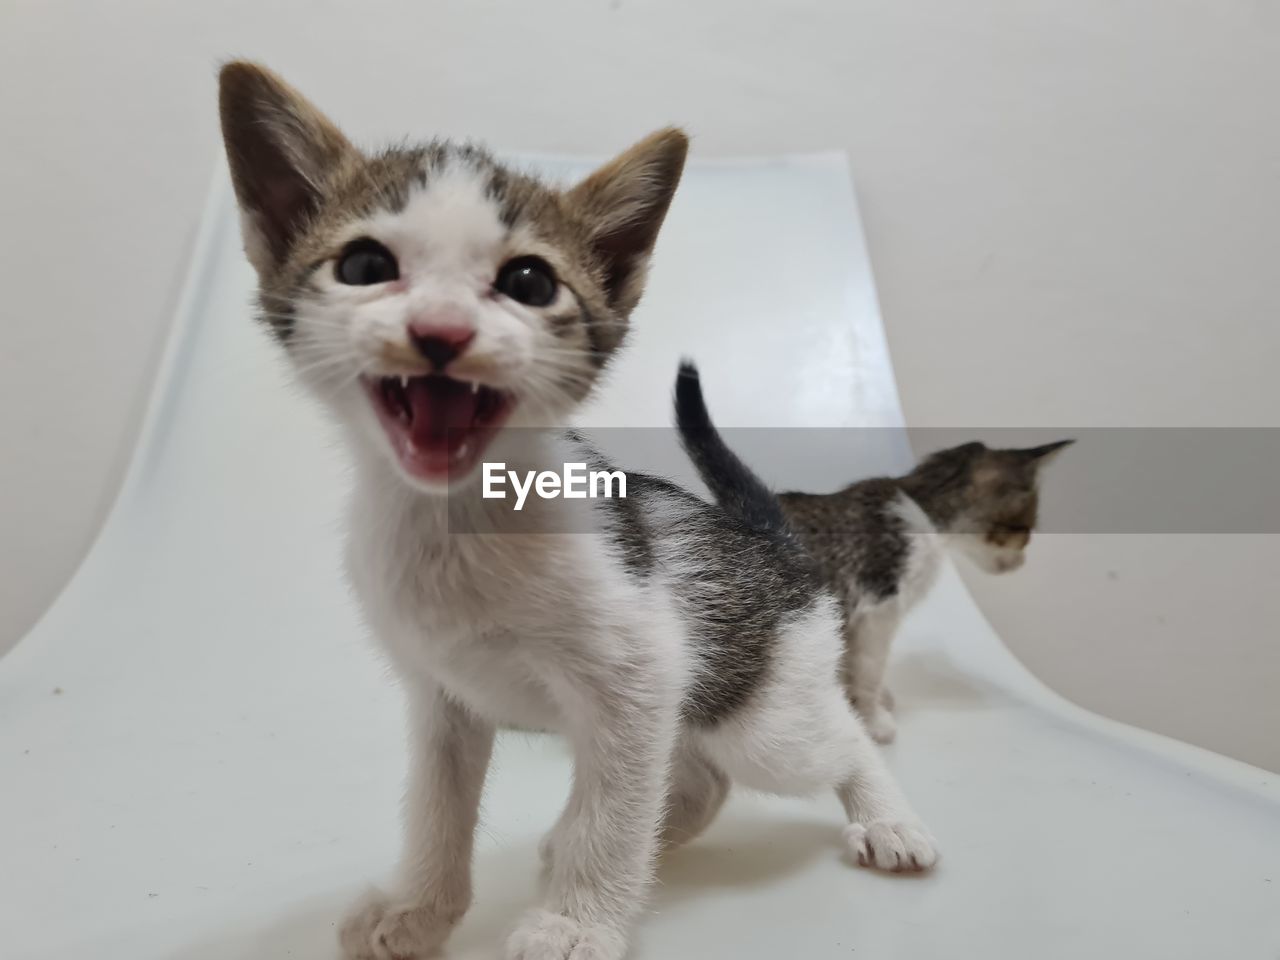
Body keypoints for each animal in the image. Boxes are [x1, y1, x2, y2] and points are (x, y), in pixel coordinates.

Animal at [220, 58, 942, 960]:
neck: (460, 527)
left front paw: (575, 921)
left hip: (763, 713)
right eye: (361, 266)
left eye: (528, 282)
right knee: (700, 777)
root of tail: (769, 538)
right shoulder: (443, 697)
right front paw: (418, 908)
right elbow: (437, 809)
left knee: (832, 741)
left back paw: (887, 818)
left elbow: (615, 811)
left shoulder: (638, 680)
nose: (441, 331)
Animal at [680, 363, 1070, 747]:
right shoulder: (877, 608)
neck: (922, 509)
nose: (1021, 562)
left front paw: (869, 700)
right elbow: (869, 667)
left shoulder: (854, 616)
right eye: (1025, 530)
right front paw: (874, 719)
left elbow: (855, 664)